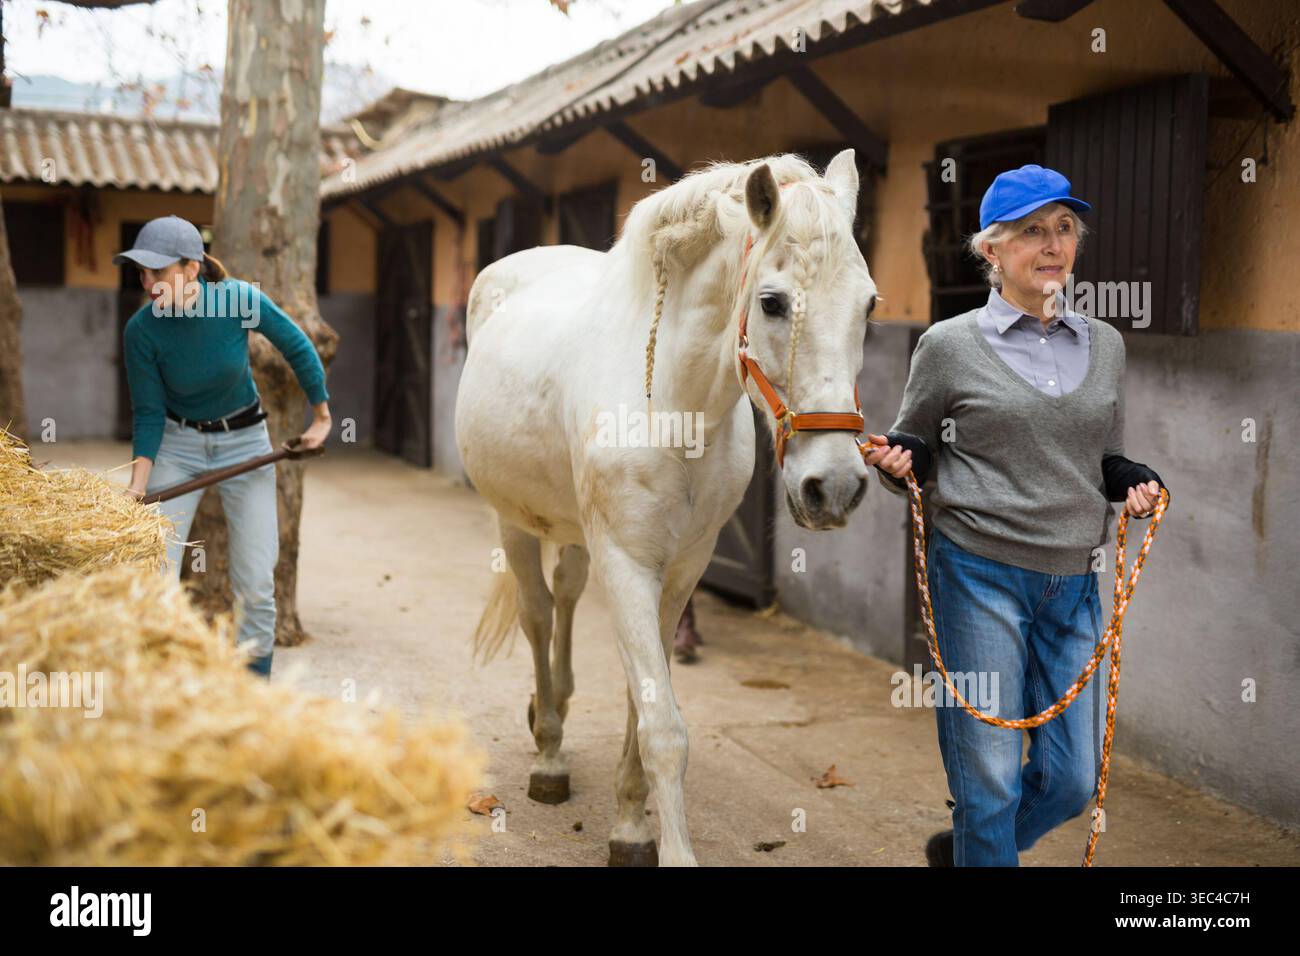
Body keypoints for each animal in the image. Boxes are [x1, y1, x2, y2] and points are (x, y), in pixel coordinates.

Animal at [455, 150, 879, 866]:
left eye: (870, 303)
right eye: (772, 302)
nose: (836, 485)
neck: (672, 407)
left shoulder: (681, 568)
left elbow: (642, 702)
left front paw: (630, 822)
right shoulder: (628, 563)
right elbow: (661, 726)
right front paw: (661, 842)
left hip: (577, 532)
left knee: (566, 593)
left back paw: (556, 711)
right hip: (514, 521)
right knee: (538, 613)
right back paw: (548, 754)